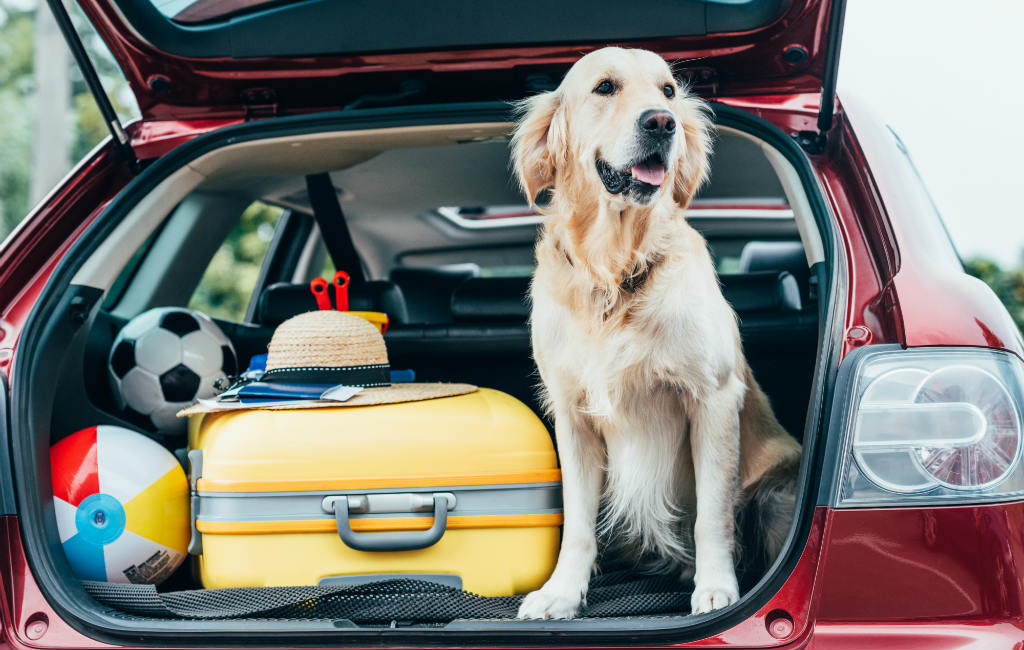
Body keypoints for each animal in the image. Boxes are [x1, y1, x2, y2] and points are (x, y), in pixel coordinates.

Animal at [516, 47, 802, 622]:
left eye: (668, 90)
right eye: (605, 87)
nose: (662, 123)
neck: (615, 272)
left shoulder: (712, 399)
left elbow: (712, 515)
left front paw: (716, 589)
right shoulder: (573, 415)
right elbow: (577, 523)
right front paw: (561, 592)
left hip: (778, 489)